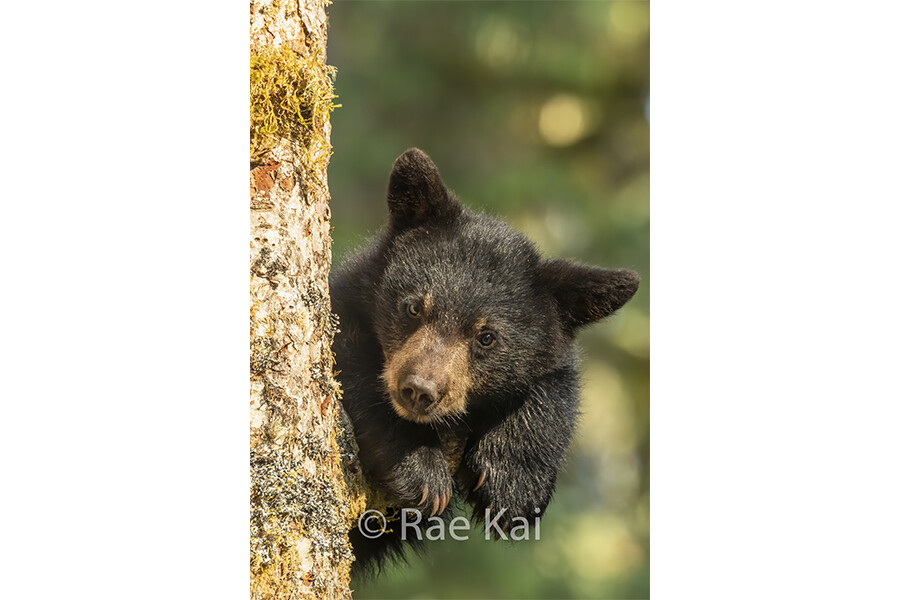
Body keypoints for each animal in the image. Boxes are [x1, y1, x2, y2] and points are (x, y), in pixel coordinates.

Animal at [330, 148, 640, 576]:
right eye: (414, 307)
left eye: (487, 336)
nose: (420, 391)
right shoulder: (345, 307)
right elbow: (352, 364)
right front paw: (422, 472)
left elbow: (554, 385)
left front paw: (513, 487)